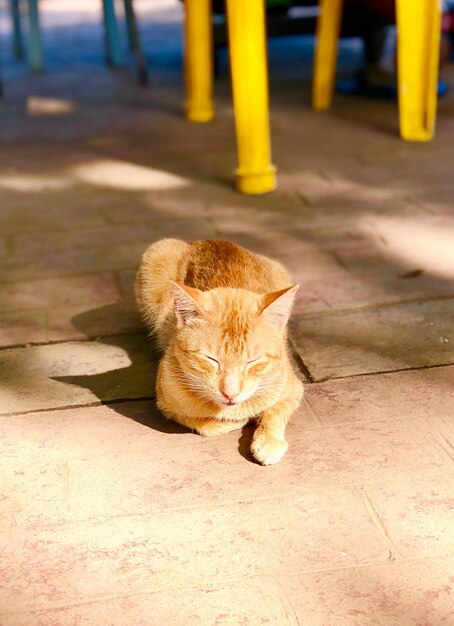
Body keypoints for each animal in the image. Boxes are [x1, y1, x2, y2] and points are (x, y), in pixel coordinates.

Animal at [137, 239, 304, 464]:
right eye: (211, 359)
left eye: (252, 361)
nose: (230, 393)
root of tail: (206, 240)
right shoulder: (165, 404)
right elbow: (203, 424)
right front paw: (236, 421)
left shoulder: (294, 389)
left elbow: (275, 411)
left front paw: (268, 441)